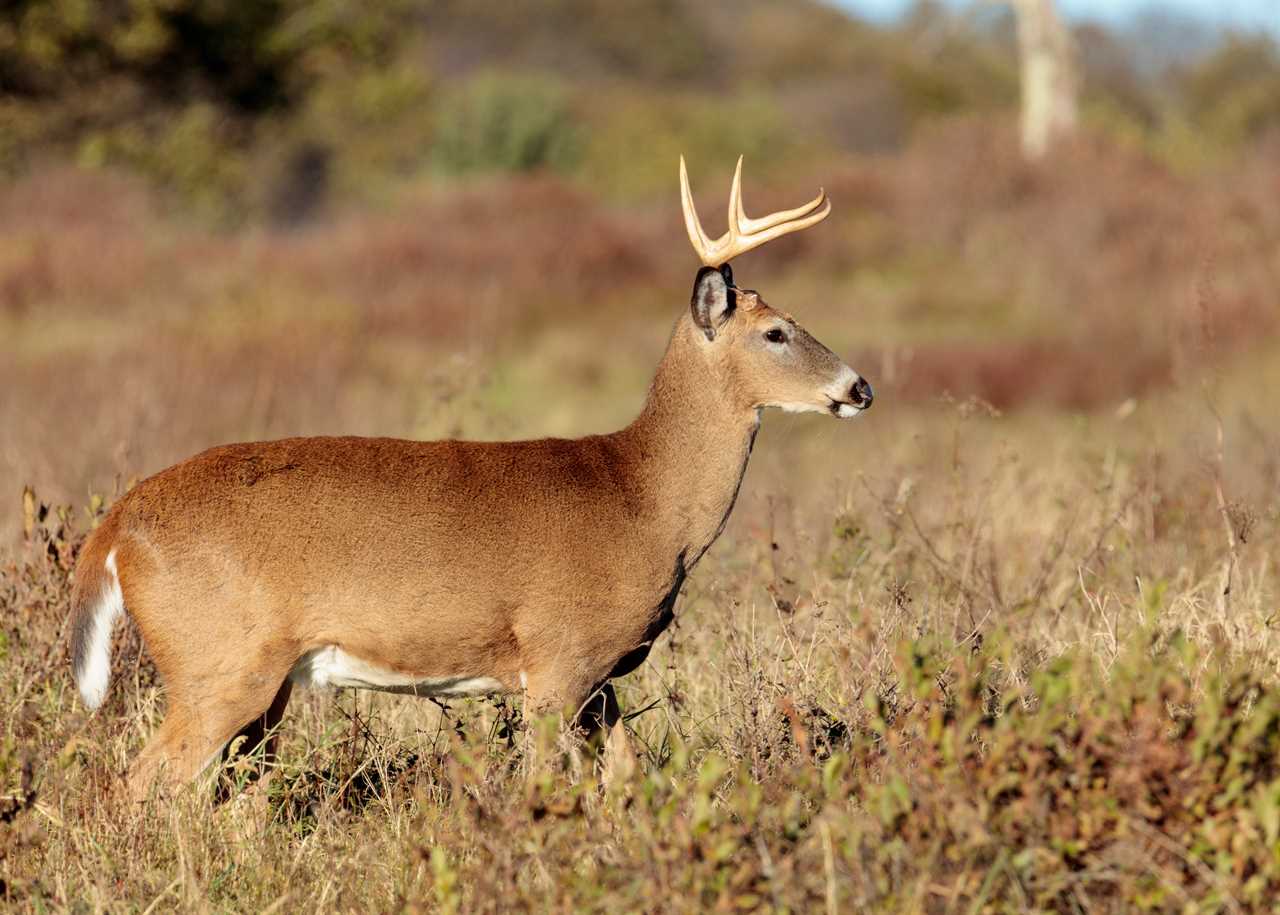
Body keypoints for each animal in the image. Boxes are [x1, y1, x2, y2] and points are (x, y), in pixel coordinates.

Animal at [67, 157, 870, 803]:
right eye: (775, 333)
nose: (859, 387)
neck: (642, 498)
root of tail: (115, 527)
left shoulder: (601, 681)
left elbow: (627, 777)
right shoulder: (558, 657)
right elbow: (548, 787)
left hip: (257, 687)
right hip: (219, 663)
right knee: (136, 784)